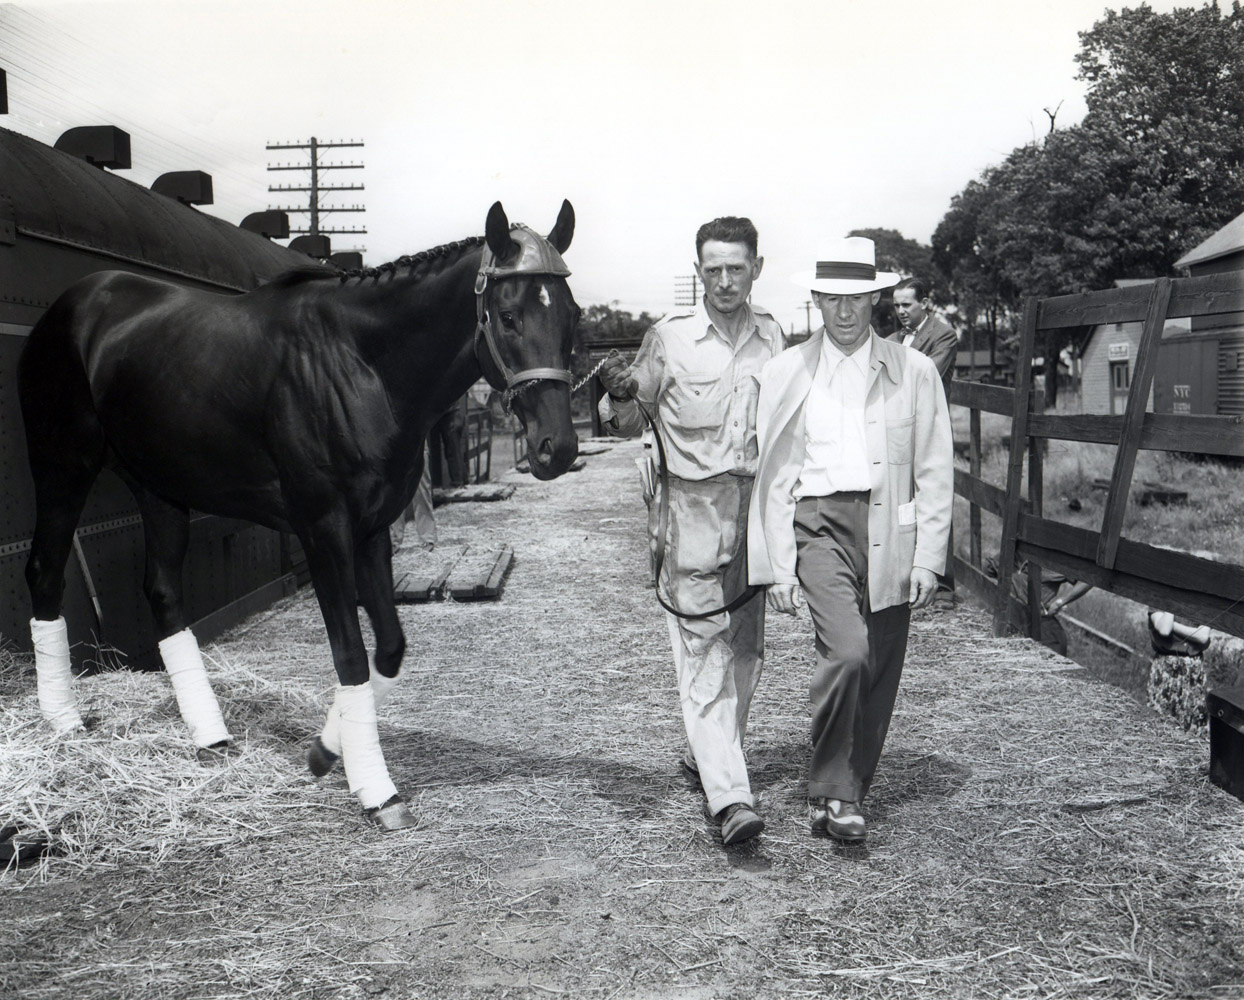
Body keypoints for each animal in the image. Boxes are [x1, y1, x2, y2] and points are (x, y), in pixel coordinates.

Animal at [19, 201, 582, 825]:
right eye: (508, 315)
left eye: (572, 315)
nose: (558, 448)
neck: (360, 364)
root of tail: (76, 302)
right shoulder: (323, 530)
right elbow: (351, 654)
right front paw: (376, 791)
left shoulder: (372, 527)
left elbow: (389, 647)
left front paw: (323, 753)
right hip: (63, 467)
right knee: (44, 572)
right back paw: (65, 722)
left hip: (159, 487)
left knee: (163, 593)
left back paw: (210, 736)